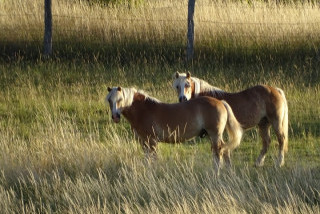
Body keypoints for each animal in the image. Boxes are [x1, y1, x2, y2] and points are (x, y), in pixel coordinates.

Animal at [105, 85, 242, 174]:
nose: (115, 117)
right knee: (225, 151)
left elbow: (153, 159)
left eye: (120, 99)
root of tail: (220, 102)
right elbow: (147, 159)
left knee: (218, 153)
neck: (144, 111)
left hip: (214, 135)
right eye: (109, 100)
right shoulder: (144, 142)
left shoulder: (152, 141)